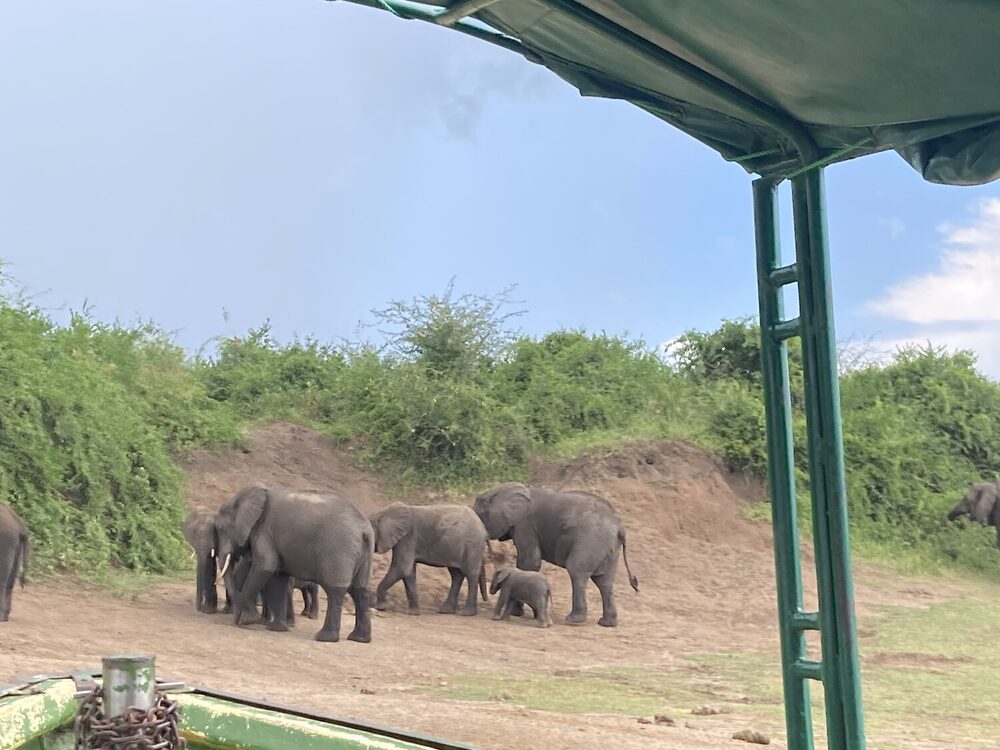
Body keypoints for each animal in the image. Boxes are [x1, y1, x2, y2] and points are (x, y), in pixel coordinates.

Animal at [214, 484, 374, 643]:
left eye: (220, 529)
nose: (233, 621)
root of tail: (365, 528)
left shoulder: (264, 531)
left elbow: (265, 567)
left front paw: (247, 621)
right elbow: (278, 578)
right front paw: (276, 628)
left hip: (338, 550)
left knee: (335, 591)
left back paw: (324, 637)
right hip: (363, 553)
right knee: (359, 590)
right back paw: (359, 638)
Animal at [473, 482, 638, 627]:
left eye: (480, 517)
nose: (487, 599)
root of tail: (620, 528)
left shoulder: (525, 524)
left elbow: (529, 562)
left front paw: (517, 612)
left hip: (591, 541)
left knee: (577, 571)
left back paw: (574, 620)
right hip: (608, 548)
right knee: (604, 581)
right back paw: (606, 623)